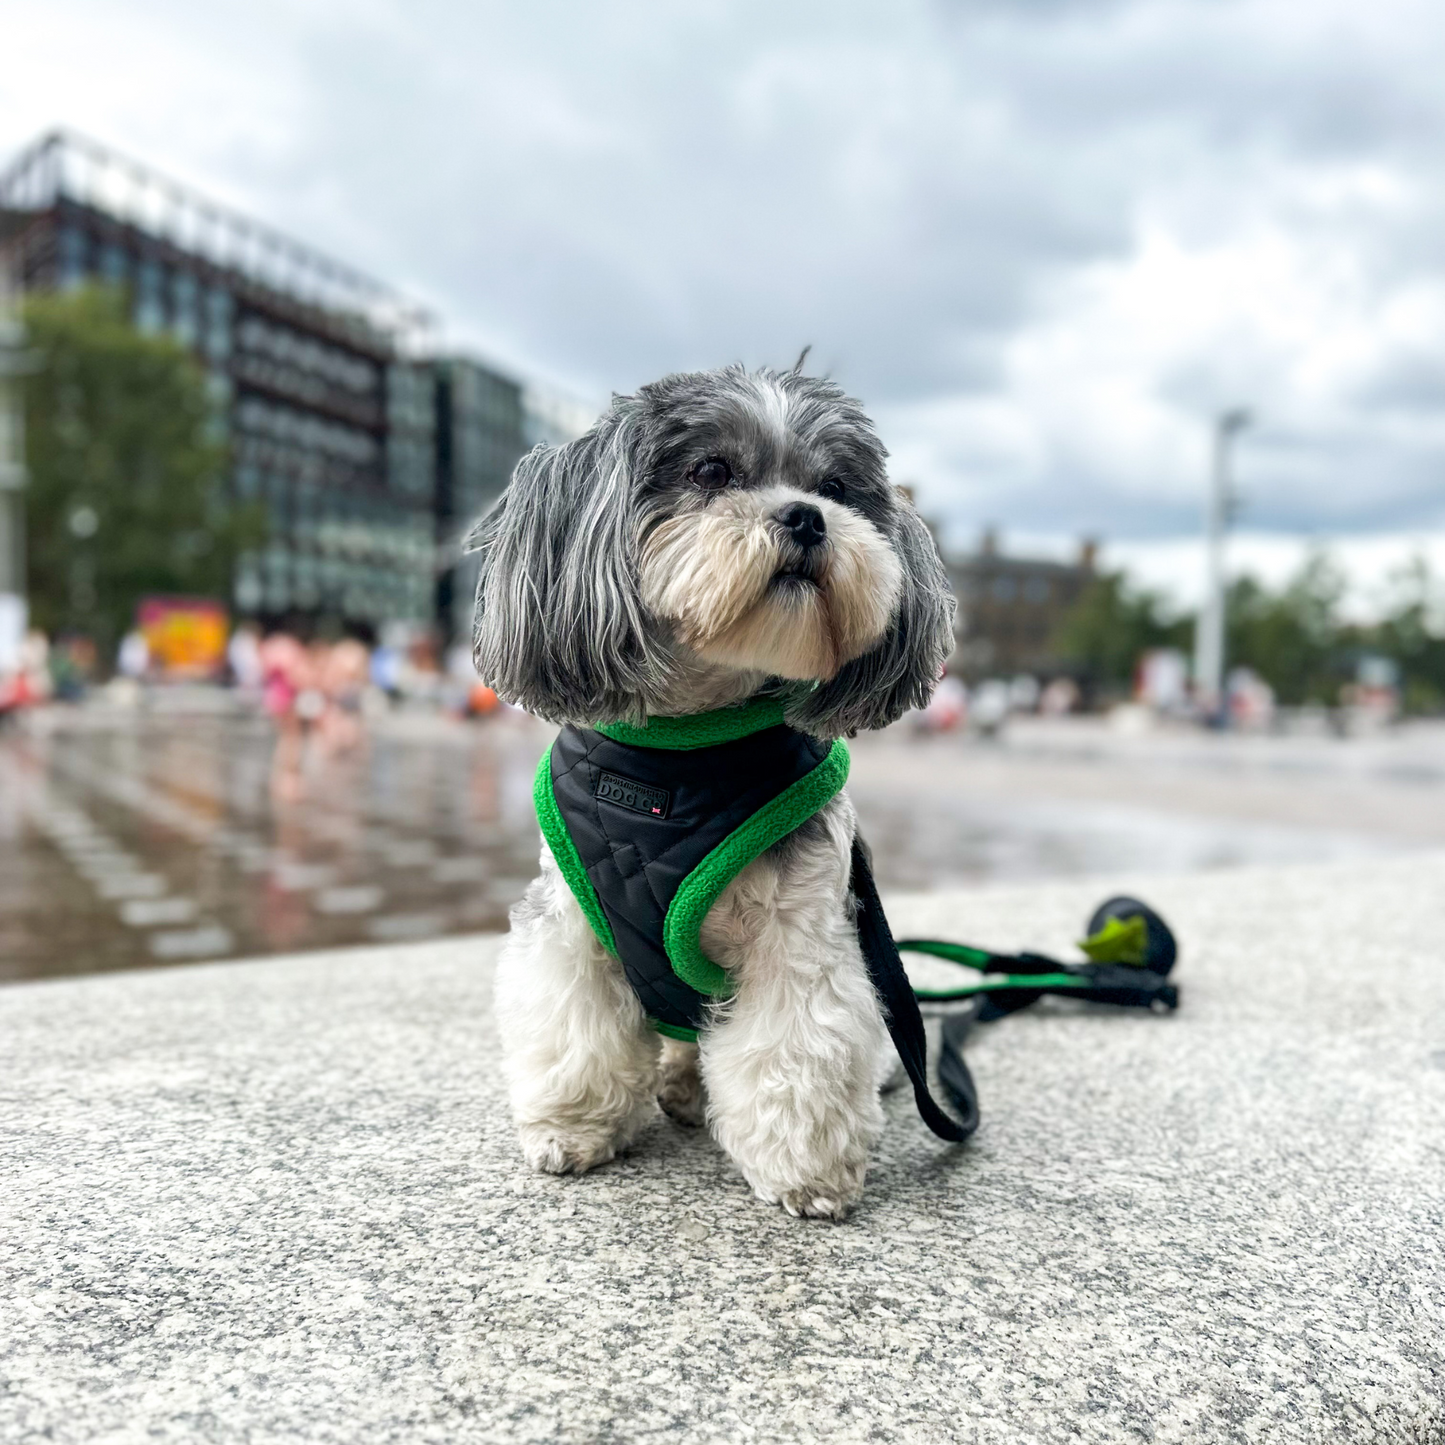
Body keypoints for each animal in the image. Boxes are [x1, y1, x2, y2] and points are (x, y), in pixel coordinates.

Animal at [468, 364, 953, 1219]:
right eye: (711, 472)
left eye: (834, 487)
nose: (806, 517)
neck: (681, 756)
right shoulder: (568, 922)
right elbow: (574, 1027)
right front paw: (571, 1127)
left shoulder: (803, 936)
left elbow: (797, 1045)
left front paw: (806, 1173)